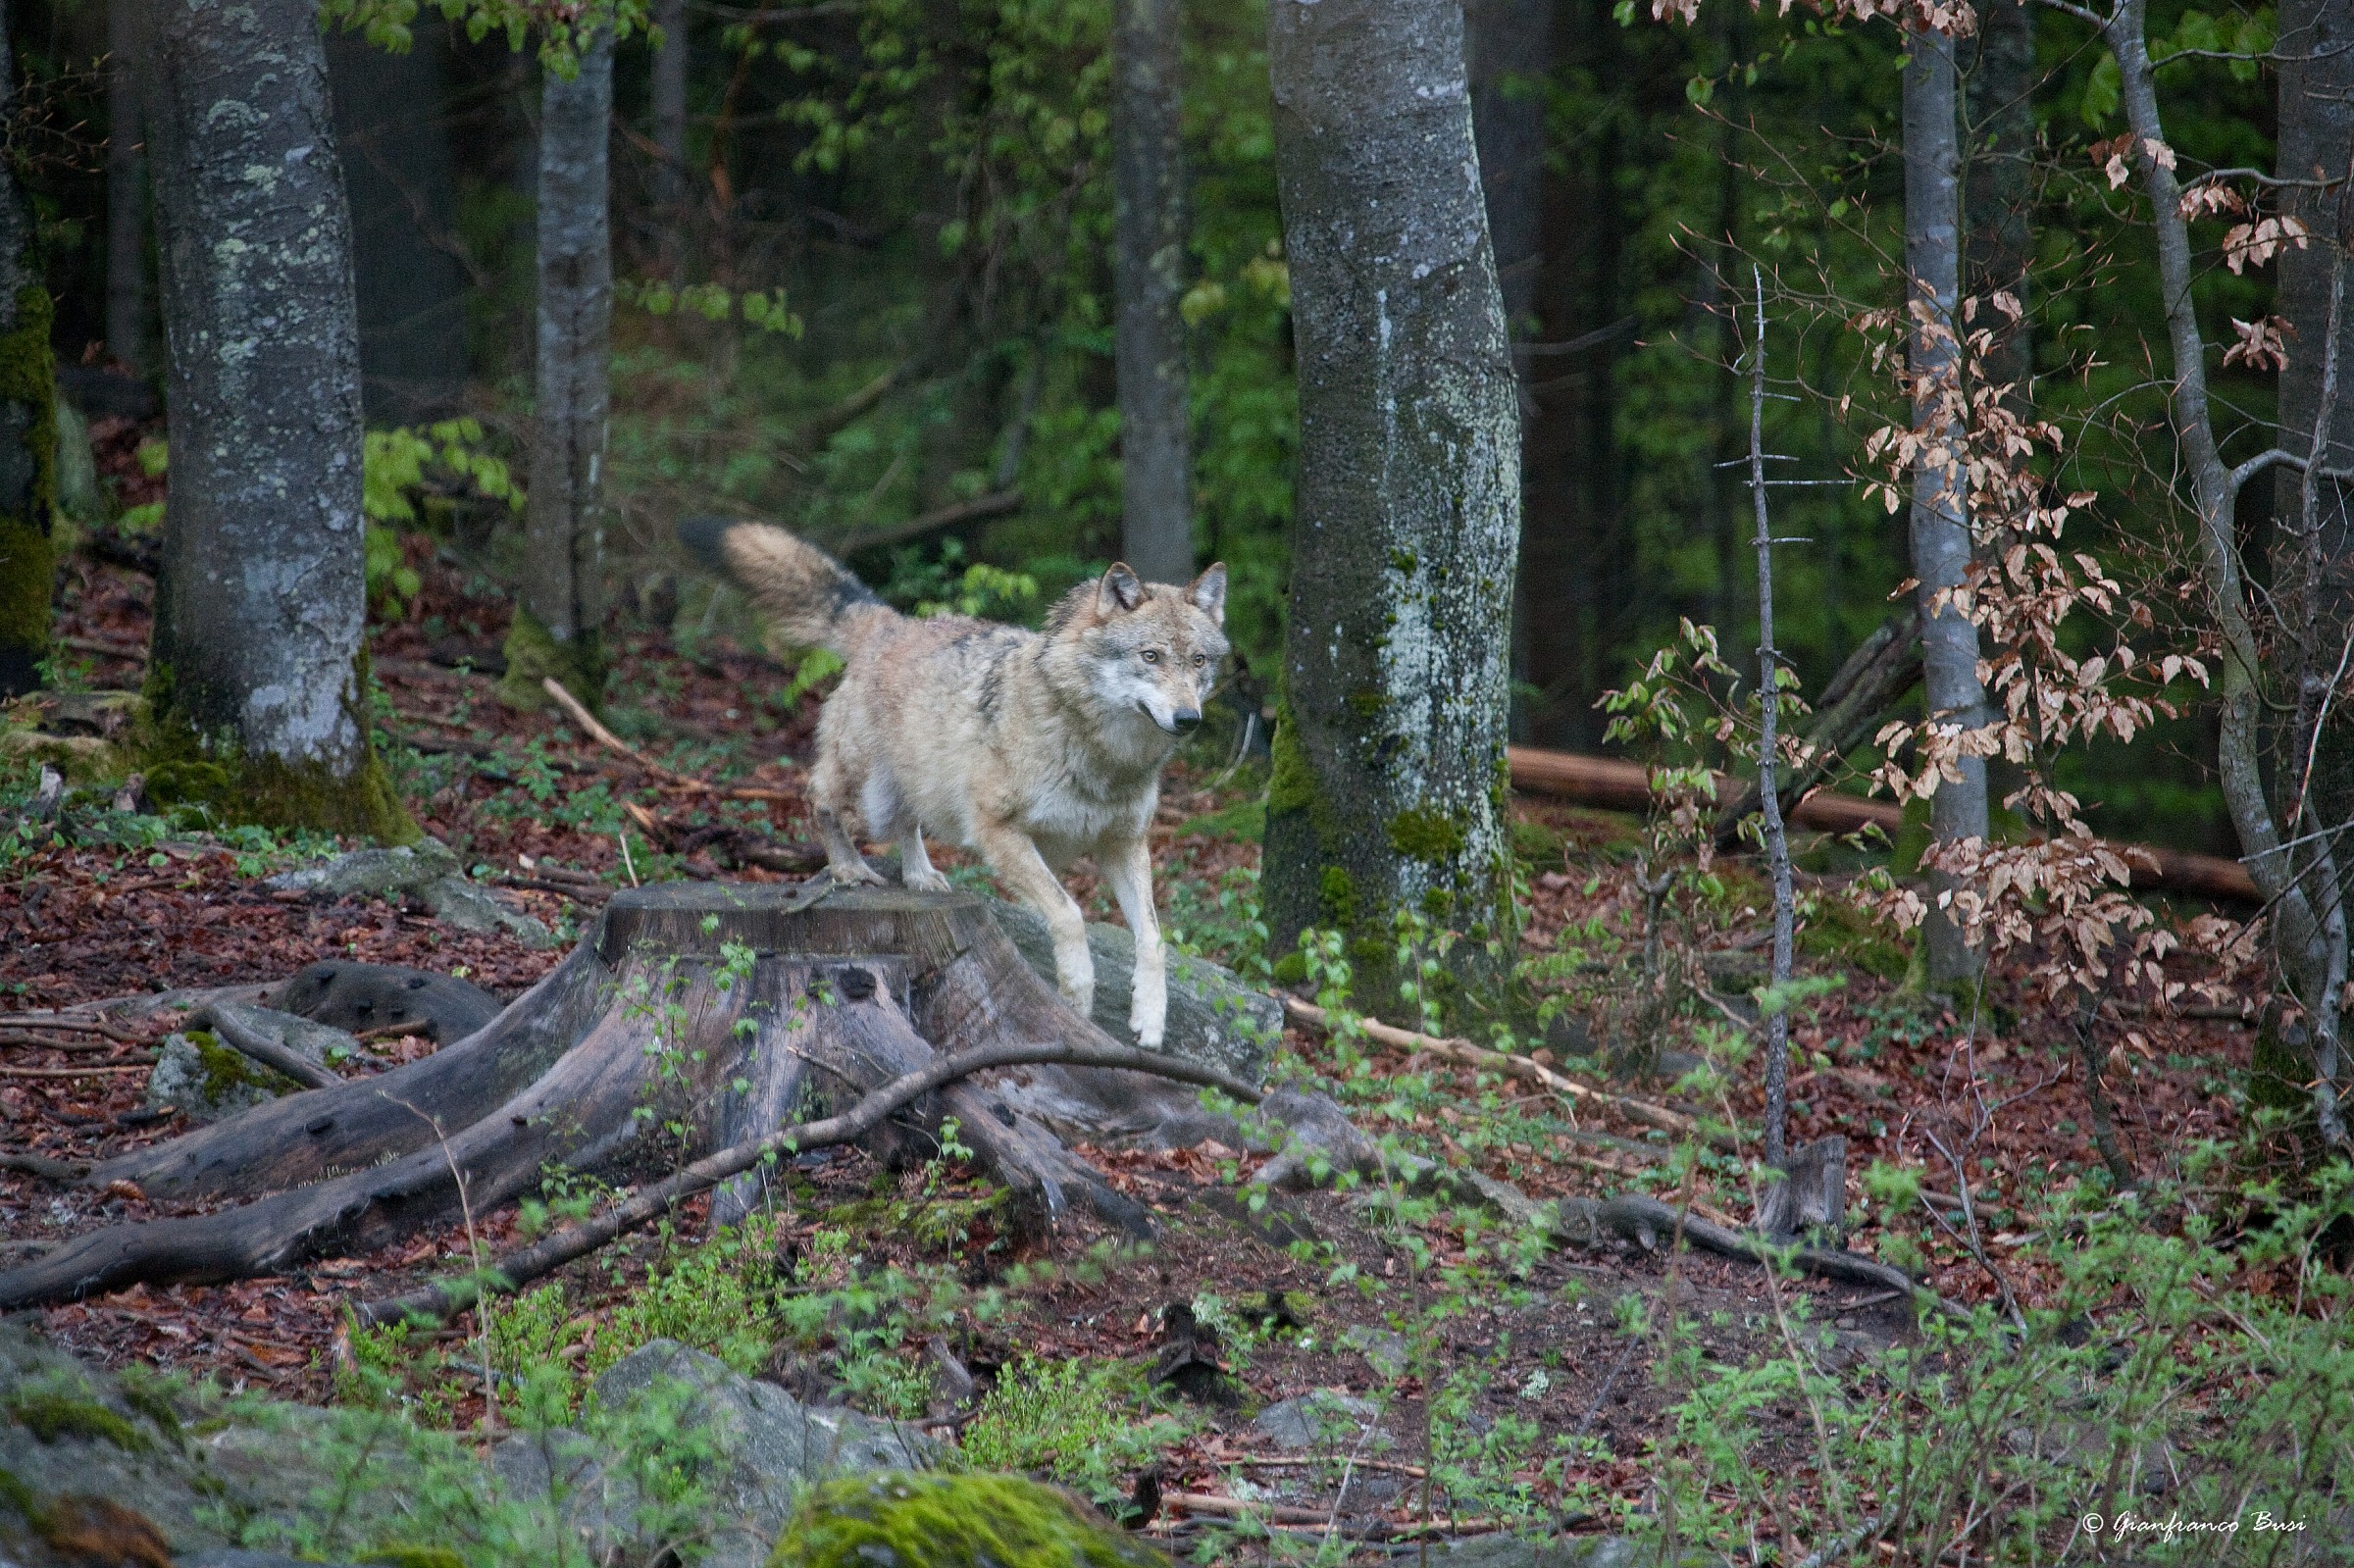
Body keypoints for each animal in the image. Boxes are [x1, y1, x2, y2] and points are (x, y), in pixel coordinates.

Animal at [679, 517, 1229, 1048]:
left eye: (1198, 661)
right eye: (1151, 656)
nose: (1188, 719)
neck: (1104, 753)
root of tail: (892, 623)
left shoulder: (1124, 844)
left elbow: (1153, 941)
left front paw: (1150, 1021)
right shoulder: (999, 832)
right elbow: (1071, 916)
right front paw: (1077, 1003)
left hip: (916, 789)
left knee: (906, 826)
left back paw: (921, 876)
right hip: (863, 788)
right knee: (818, 798)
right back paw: (849, 869)